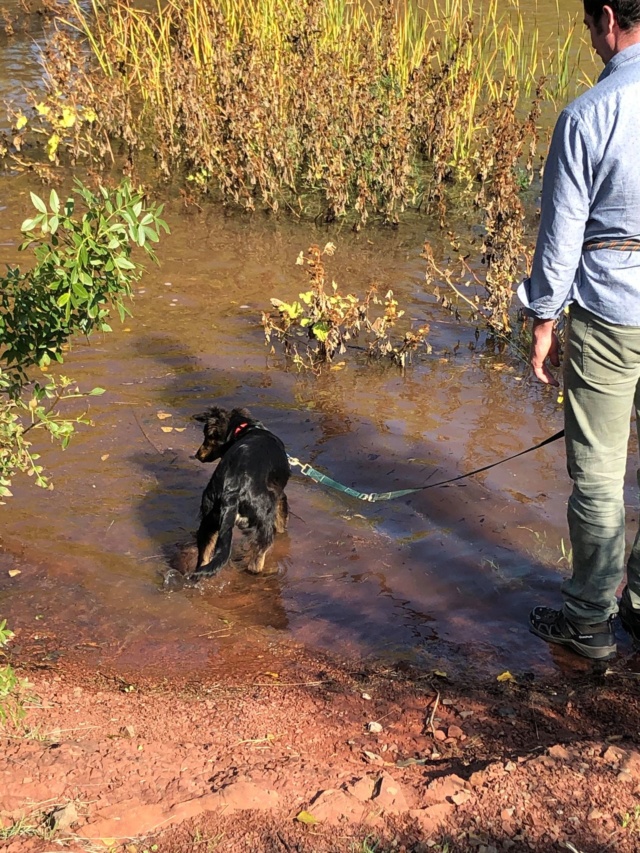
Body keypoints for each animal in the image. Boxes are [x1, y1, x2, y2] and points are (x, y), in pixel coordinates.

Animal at [188, 406, 290, 580]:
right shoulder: (280, 496)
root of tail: (233, 489)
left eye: (208, 436)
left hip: (208, 521)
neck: (246, 428)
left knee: (203, 560)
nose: (197, 455)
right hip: (263, 523)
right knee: (256, 562)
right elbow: (282, 521)